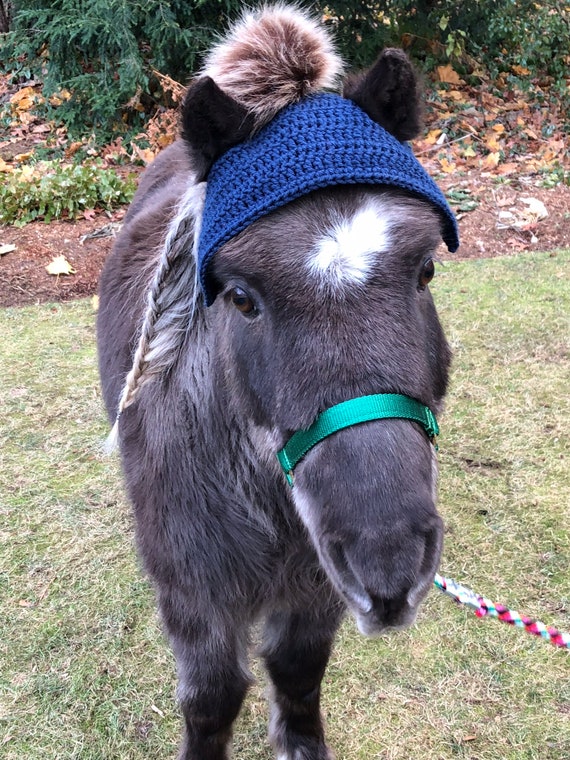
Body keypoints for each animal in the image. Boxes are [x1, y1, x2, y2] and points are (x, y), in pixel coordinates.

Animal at [97, 6, 459, 759]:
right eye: (240, 296)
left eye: (426, 270)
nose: (388, 564)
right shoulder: (196, 600)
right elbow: (212, 699)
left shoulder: (316, 586)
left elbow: (296, 669)